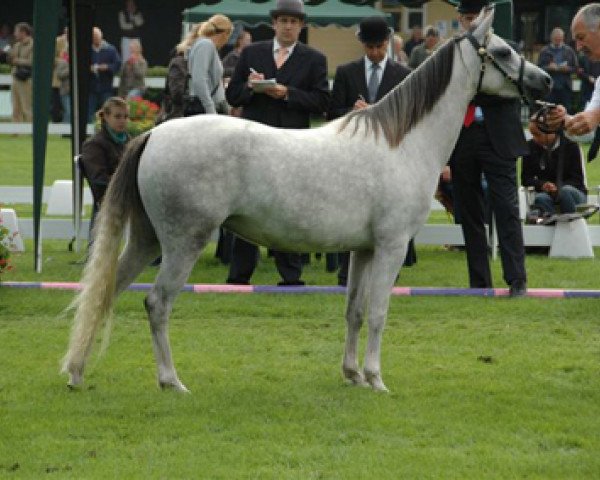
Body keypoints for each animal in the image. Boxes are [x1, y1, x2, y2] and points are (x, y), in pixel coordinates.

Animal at [63, 6, 552, 394]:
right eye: (503, 52)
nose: (546, 80)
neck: (402, 143)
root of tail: (153, 134)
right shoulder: (391, 247)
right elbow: (379, 312)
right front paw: (376, 379)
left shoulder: (364, 250)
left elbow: (354, 311)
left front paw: (352, 375)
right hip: (183, 243)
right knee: (157, 303)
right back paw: (171, 381)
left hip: (147, 240)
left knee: (105, 292)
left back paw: (77, 372)